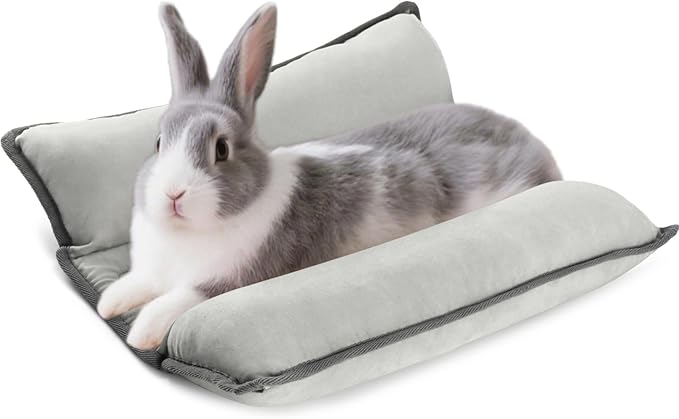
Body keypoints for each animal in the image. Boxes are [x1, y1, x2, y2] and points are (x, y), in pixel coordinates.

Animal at [97, 2, 562, 351]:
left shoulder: (231, 280)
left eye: (221, 149)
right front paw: (108, 304)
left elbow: (179, 299)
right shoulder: (153, 272)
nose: (173, 195)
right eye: (159, 143)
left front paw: (140, 334)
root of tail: (533, 145)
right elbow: (136, 283)